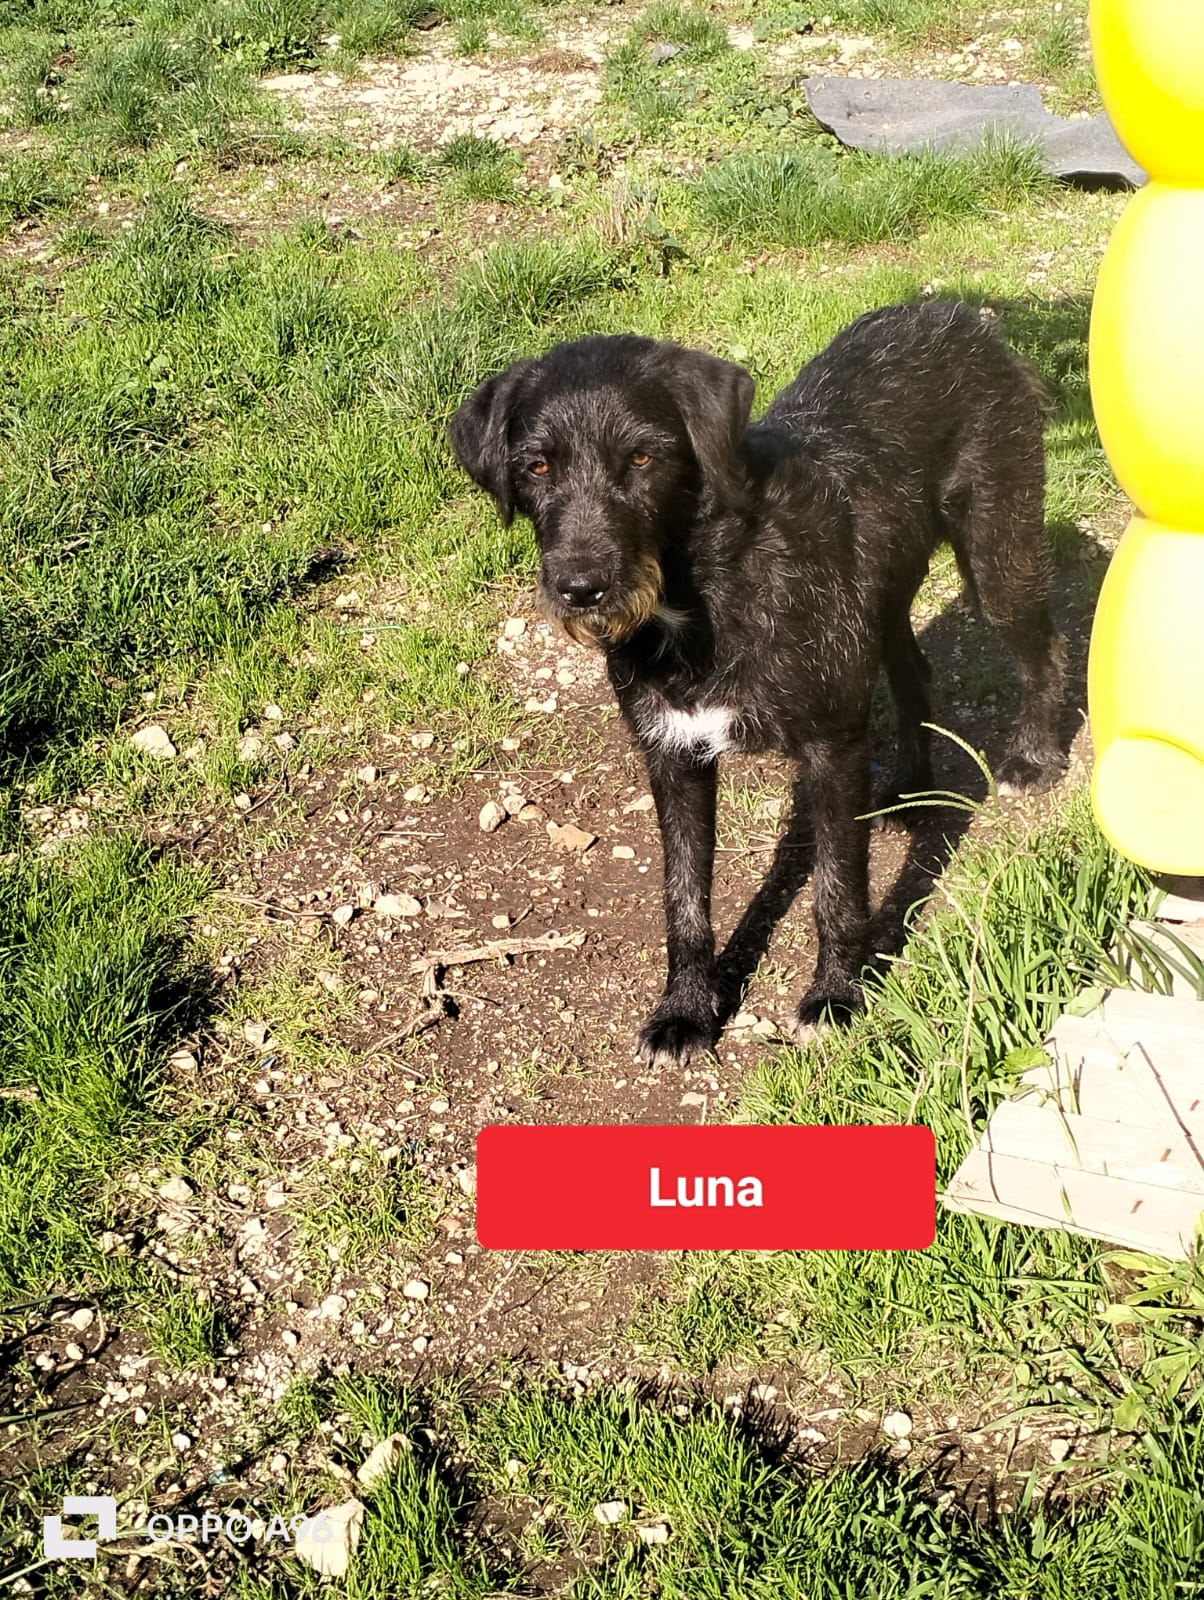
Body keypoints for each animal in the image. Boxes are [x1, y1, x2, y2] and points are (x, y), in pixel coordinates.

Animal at [449, 301, 1066, 1066]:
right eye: (536, 465)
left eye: (643, 458)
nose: (581, 588)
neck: (706, 588)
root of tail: (955, 312)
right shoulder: (673, 756)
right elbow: (684, 896)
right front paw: (685, 1009)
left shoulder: (832, 747)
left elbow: (838, 886)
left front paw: (836, 996)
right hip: (883, 597)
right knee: (913, 670)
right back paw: (907, 786)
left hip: (998, 553)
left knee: (1044, 647)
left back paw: (1034, 756)